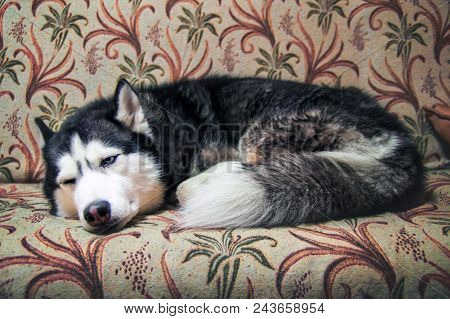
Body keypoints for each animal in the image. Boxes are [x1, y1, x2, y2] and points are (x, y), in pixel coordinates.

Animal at [37, 76, 424, 234]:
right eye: (68, 181)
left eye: (110, 160)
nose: (96, 211)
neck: (165, 130)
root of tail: (400, 140)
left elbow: (184, 187)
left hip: (258, 134)